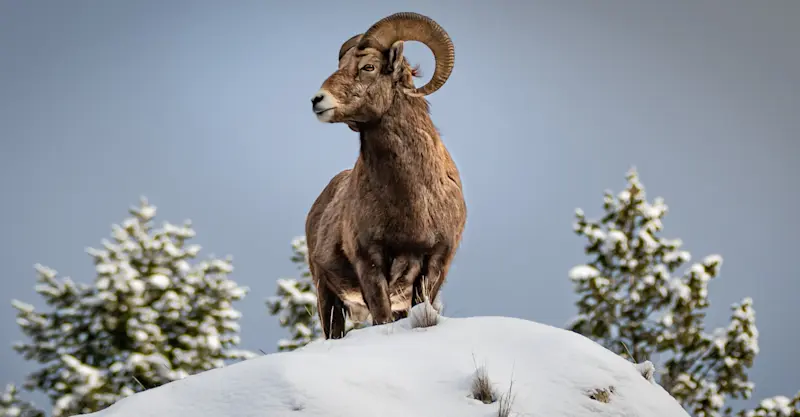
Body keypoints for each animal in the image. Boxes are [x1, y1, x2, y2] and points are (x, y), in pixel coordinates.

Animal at [305, 12, 467, 339]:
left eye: (368, 67)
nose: (318, 100)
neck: (412, 200)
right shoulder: (371, 265)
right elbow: (381, 318)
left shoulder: (435, 263)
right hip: (326, 296)